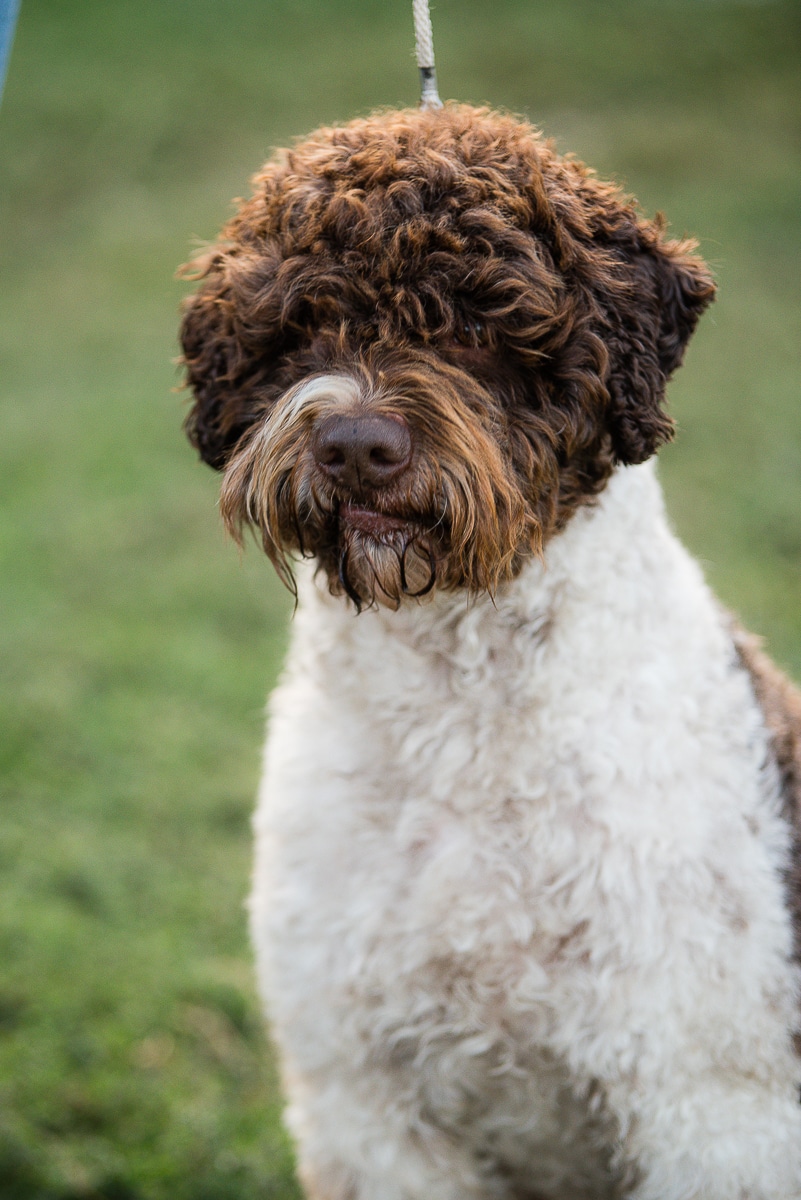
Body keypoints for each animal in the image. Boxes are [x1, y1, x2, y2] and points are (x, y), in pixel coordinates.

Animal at [181, 105, 801, 1200]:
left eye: (477, 324)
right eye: (300, 328)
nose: (355, 445)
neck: (459, 725)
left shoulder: (709, 1100)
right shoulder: (366, 1103)